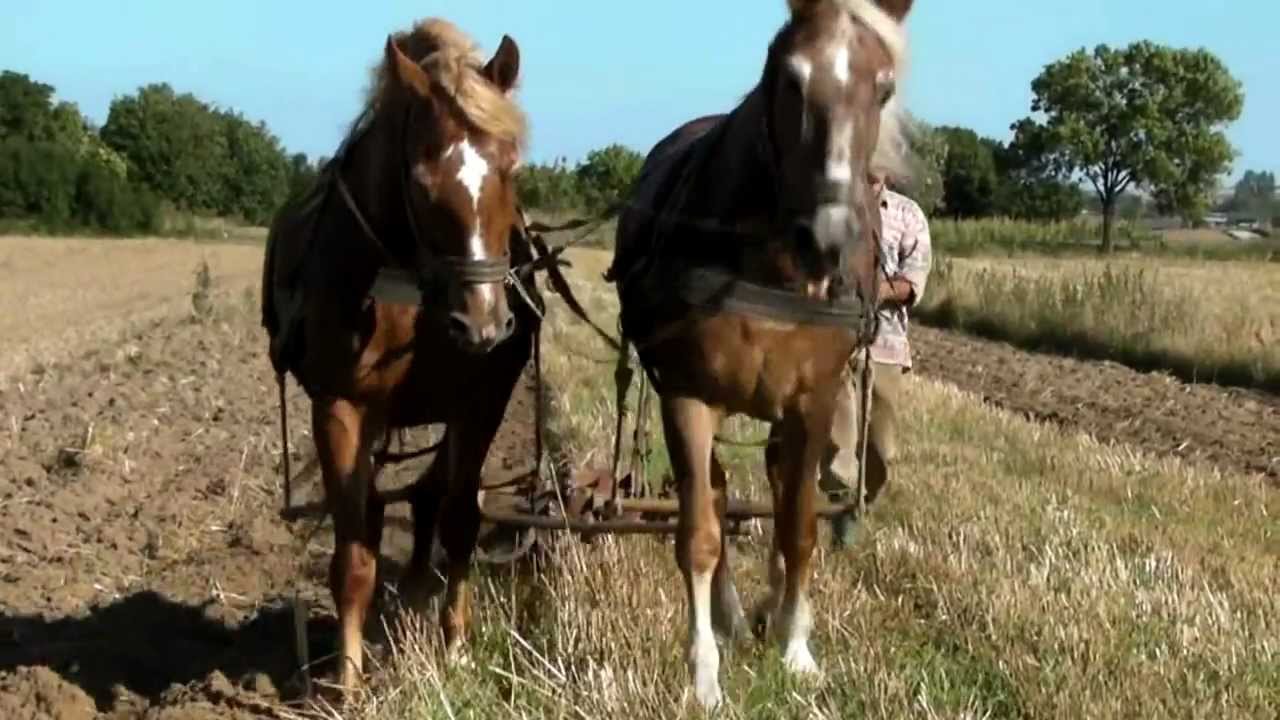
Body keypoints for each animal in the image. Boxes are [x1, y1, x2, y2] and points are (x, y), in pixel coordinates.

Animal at [260, 18, 540, 694]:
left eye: (510, 168)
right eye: (421, 178)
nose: (483, 323)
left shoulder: (481, 403)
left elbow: (459, 520)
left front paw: (456, 645)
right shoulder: (340, 407)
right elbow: (353, 555)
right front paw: (348, 679)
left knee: (431, 496)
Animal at [607, 0, 915, 708]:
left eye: (884, 88)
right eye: (792, 79)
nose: (828, 240)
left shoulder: (813, 401)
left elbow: (797, 525)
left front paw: (797, 650)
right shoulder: (687, 396)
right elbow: (698, 533)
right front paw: (704, 675)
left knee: (775, 486)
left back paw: (772, 610)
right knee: (717, 498)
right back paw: (726, 618)